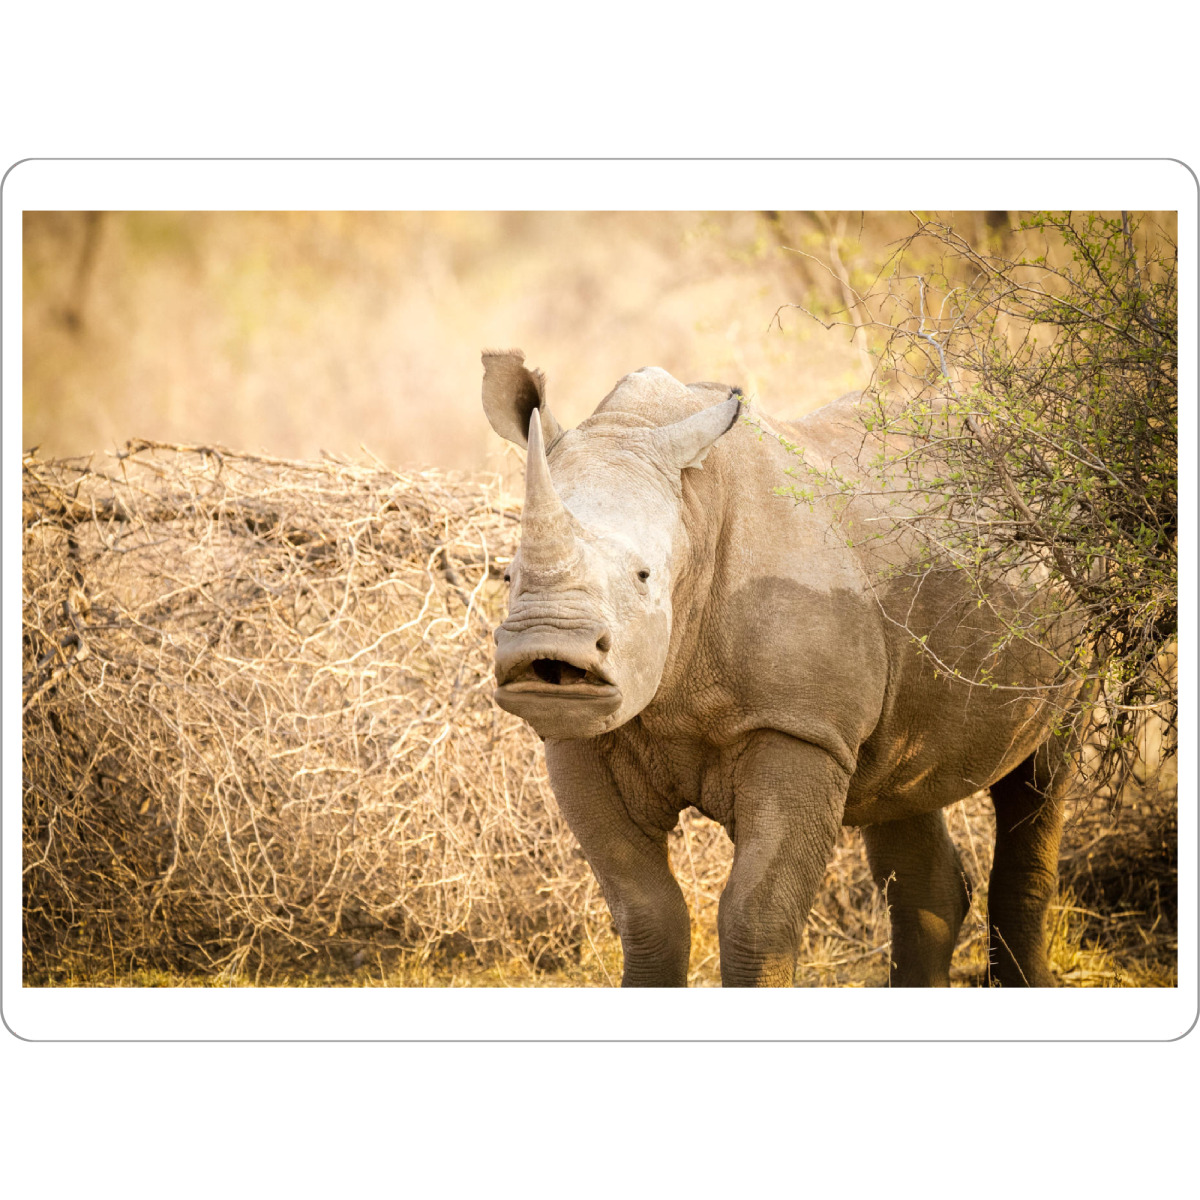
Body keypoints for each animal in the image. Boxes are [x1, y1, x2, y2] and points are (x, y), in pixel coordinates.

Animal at [482, 349, 1076, 987]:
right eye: (510, 574)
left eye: (644, 577)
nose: (549, 648)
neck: (692, 509)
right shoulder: (582, 741)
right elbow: (646, 913)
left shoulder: (800, 727)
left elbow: (756, 918)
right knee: (903, 788)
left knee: (1043, 778)